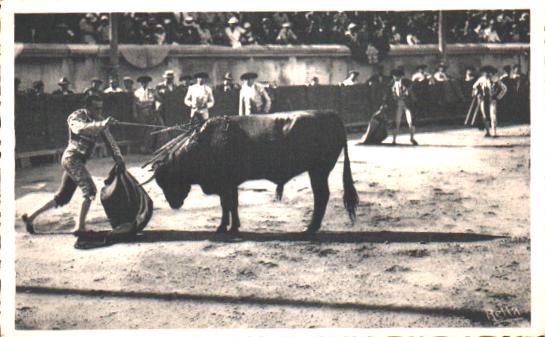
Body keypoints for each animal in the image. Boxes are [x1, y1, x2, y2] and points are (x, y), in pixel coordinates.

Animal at [151, 110, 360, 234]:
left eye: (168, 180)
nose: (174, 204)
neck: (205, 143)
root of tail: (332, 116)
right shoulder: (230, 185)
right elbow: (232, 205)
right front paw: (233, 226)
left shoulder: (225, 184)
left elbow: (226, 205)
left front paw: (222, 227)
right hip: (317, 171)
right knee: (321, 196)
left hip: (318, 171)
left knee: (321, 196)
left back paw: (310, 228)